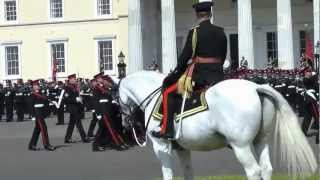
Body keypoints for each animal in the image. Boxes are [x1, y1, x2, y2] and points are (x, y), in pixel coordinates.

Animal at [118, 71, 318, 179]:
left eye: (116, 98)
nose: (125, 122)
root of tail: (255, 87)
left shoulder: (161, 146)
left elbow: (167, 173)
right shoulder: (182, 148)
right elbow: (188, 172)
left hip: (241, 146)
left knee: (254, 171)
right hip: (261, 140)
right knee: (267, 168)